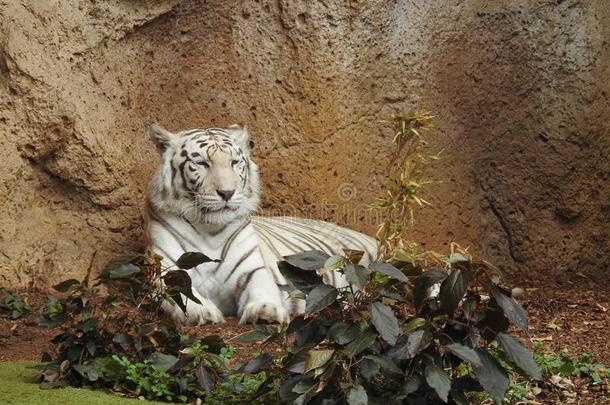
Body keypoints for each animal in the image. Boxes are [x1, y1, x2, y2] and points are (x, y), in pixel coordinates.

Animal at [147, 121, 376, 324]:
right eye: (202, 163)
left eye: (234, 162)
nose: (227, 192)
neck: (208, 229)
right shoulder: (164, 269)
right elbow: (179, 292)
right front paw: (202, 312)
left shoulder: (252, 268)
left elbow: (262, 287)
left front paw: (267, 311)